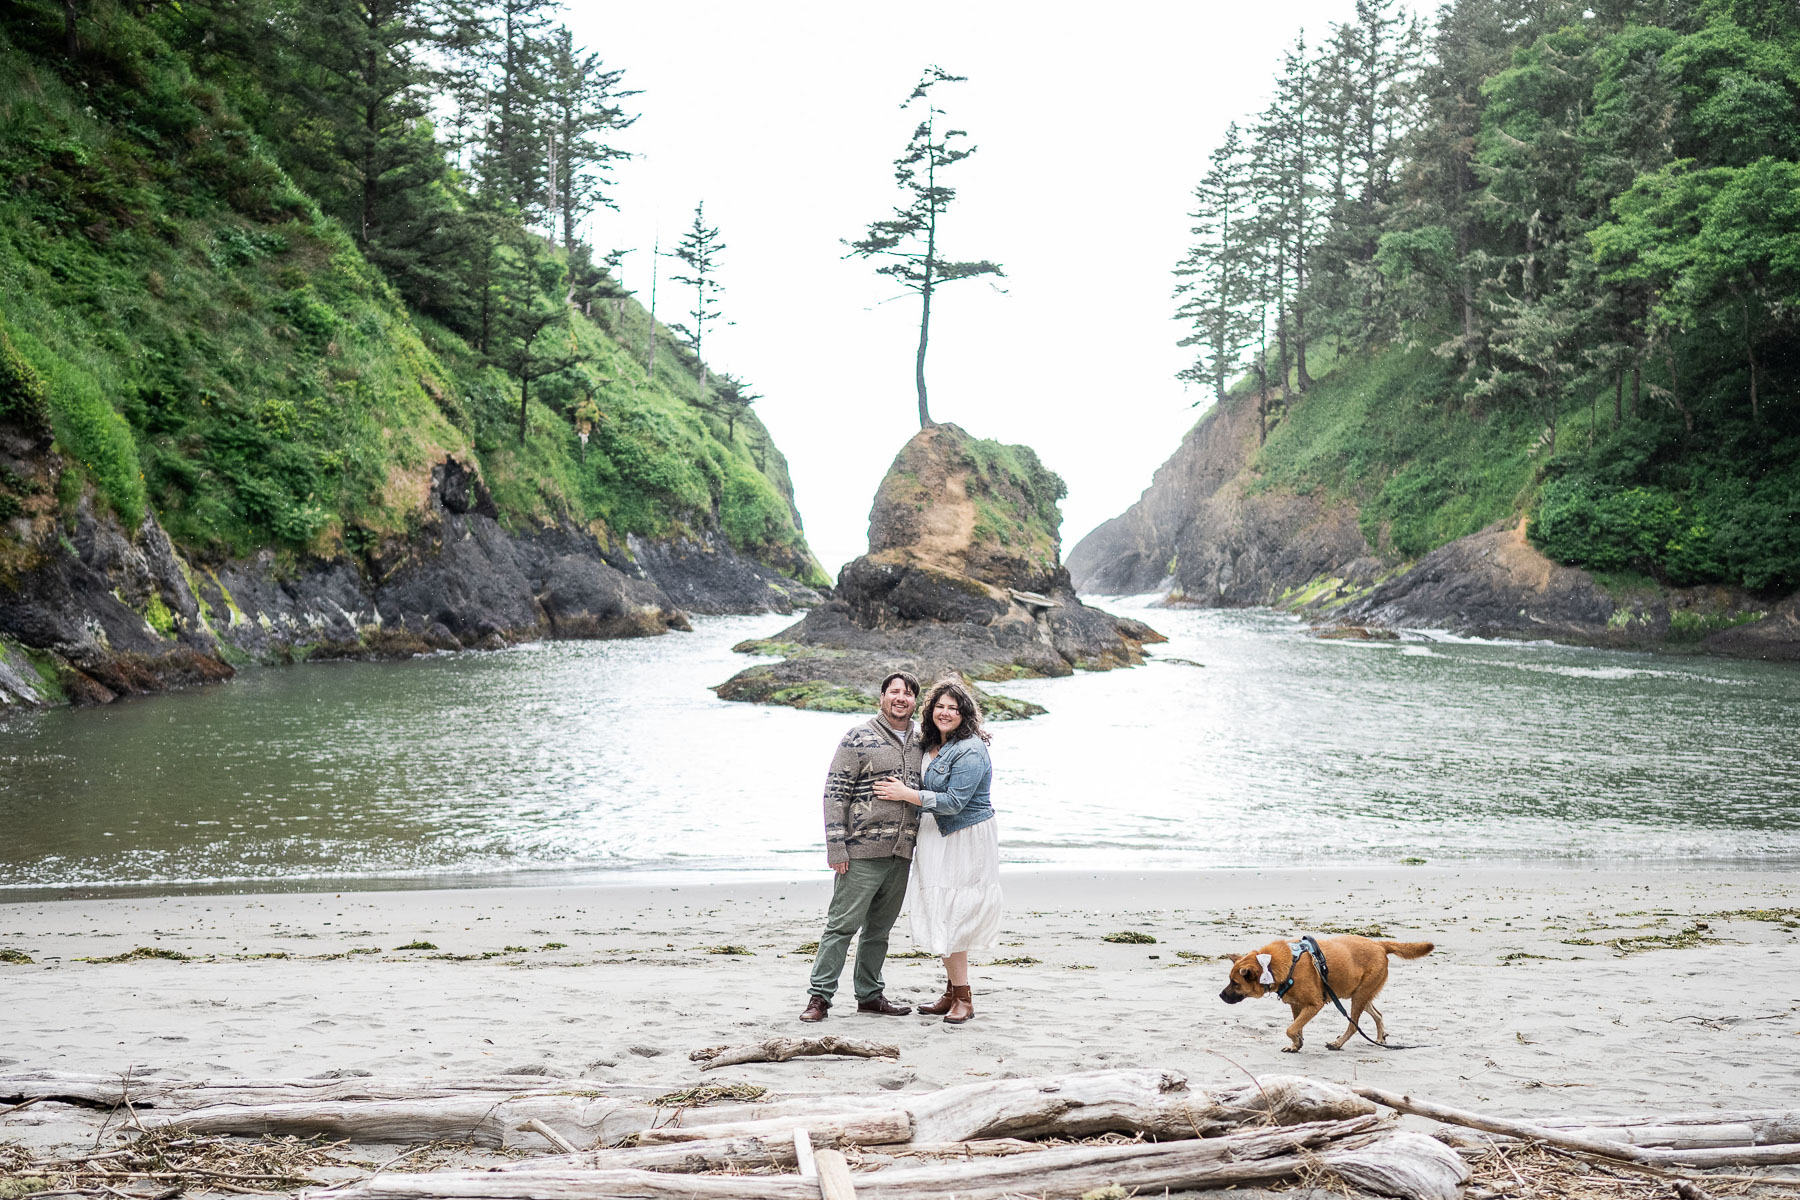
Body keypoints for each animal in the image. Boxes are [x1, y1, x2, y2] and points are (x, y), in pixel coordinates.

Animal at [1224, 935, 1432, 1050]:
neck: (1274, 964)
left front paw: (1296, 1041)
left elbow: (1290, 1028)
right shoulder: (1296, 1005)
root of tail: (1380, 945)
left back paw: (1338, 1044)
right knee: (1378, 1015)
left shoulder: (1313, 1005)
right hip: (1359, 994)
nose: (1220, 995)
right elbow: (1296, 1027)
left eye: (1235, 983)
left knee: (1354, 1025)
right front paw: (1296, 1044)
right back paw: (1380, 1038)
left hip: (1358, 997)